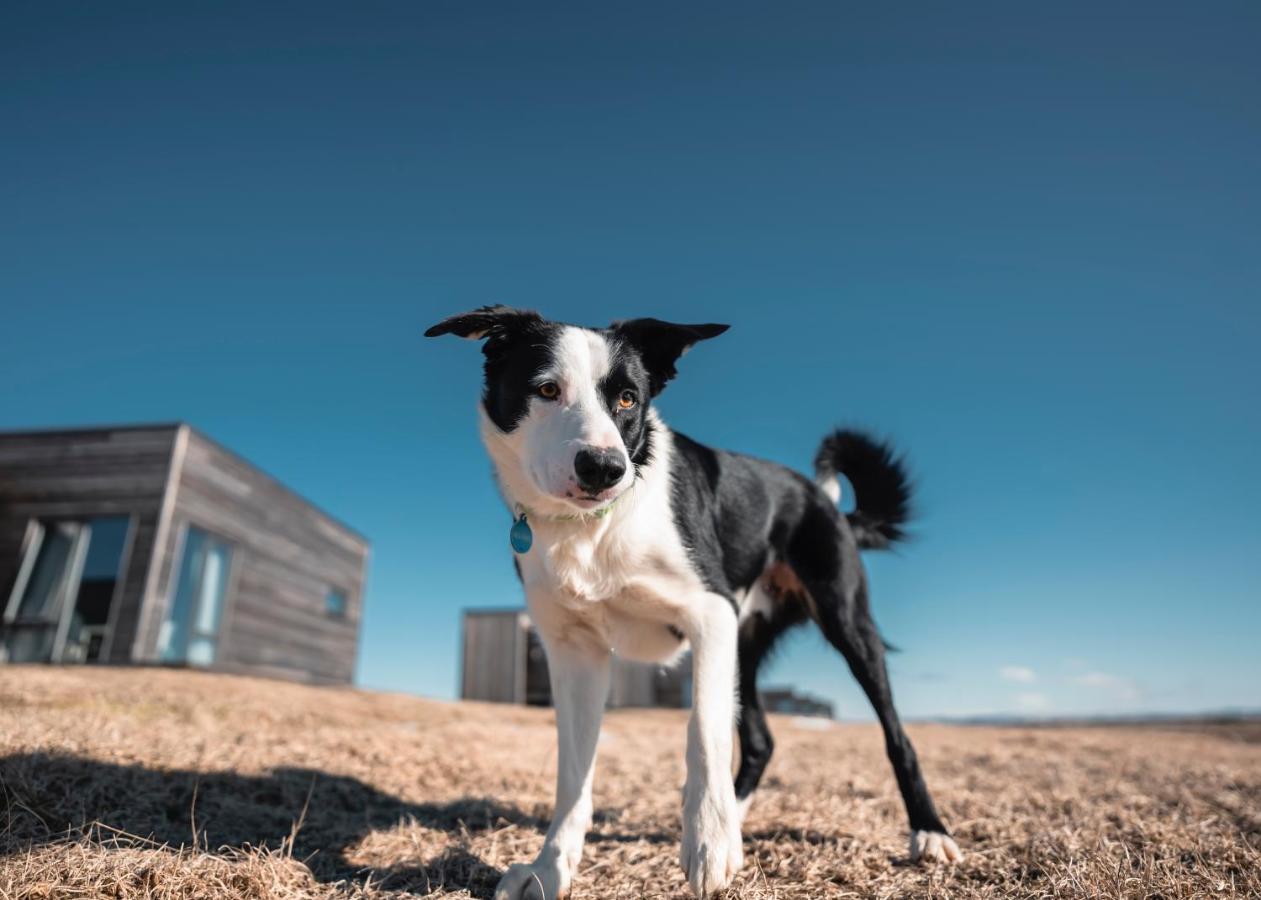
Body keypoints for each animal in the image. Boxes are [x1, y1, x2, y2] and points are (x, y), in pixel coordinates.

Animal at [428, 306, 958, 892]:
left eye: (628, 399)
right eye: (546, 389)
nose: (605, 468)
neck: (595, 528)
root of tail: (823, 501)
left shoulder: (709, 612)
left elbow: (703, 730)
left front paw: (708, 843)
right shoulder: (575, 652)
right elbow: (574, 775)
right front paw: (551, 866)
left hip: (843, 623)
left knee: (896, 737)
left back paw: (929, 833)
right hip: (744, 645)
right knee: (760, 740)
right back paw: (736, 814)